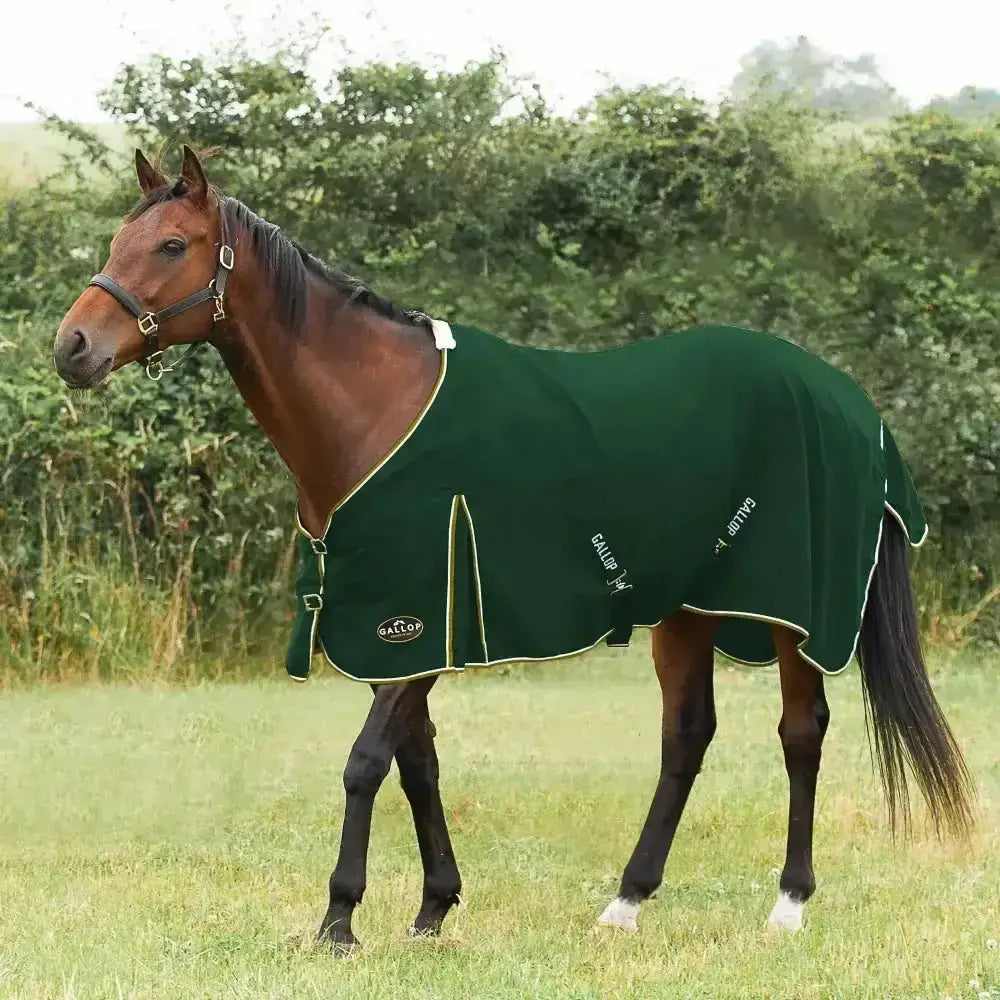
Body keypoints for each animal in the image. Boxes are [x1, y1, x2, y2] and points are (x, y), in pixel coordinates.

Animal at [52, 146, 975, 950]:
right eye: (118, 243)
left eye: (171, 245)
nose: (72, 348)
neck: (375, 412)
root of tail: (849, 400)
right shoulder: (411, 627)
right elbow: (417, 762)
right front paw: (432, 909)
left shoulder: (411, 621)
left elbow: (366, 763)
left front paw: (341, 920)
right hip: (689, 608)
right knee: (688, 736)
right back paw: (626, 902)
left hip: (788, 609)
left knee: (801, 731)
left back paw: (787, 905)